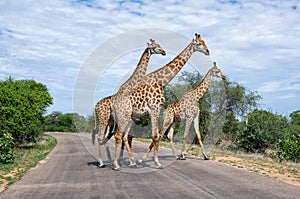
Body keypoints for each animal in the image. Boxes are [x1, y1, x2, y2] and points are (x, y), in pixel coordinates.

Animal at [92, 38, 166, 167]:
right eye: (154, 47)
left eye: (159, 45)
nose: (163, 52)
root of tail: (95, 107)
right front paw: (128, 162)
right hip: (104, 118)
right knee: (101, 136)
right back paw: (103, 162)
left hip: (109, 120)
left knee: (105, 136)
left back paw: (110, 161)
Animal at [109, 33, 210, 170]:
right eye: (199, 44)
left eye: (204, 42)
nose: (208, 51)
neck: (160, 82)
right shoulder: (153, 109)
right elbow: (156, 136)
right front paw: (156, 162)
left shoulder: (156, 110)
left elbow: (156, 135)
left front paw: (151, 161)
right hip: (124, 116)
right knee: (118, 135)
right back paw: (117, 164)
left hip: (130, 117)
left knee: (124, 135)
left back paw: (127, 161)